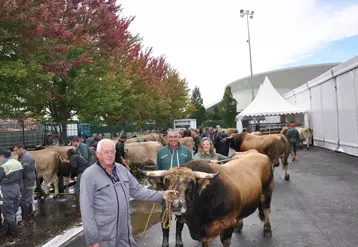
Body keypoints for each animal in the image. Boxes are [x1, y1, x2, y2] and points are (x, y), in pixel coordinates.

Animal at [144, 149, 276, 247]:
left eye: (191, 184)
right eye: (166, 183)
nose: (176, 205)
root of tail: (254, 151)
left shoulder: (228, 222)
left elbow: (224, 240)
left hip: (267, 192)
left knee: (266, 209)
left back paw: (267, 230)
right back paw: (239, 226)